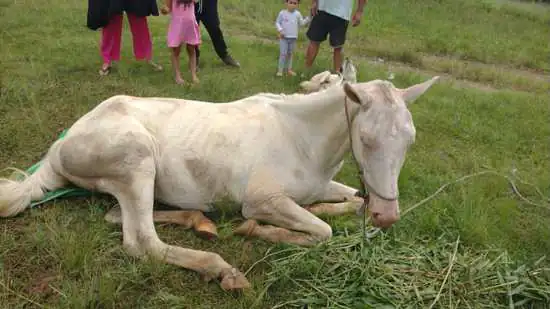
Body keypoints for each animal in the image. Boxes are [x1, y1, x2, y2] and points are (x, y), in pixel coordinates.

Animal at [0, 70, 440, 288]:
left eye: (411, 139)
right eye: (366, 139)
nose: (388, 216)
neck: (301, 137)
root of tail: (58, 150)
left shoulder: (322, 186)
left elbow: (348, 201)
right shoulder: (262, 199)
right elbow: (320, 230)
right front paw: (258, 230)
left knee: (115, 217)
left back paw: (202, 223)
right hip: (137, 160)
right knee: (141, 241)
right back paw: (221, 269)